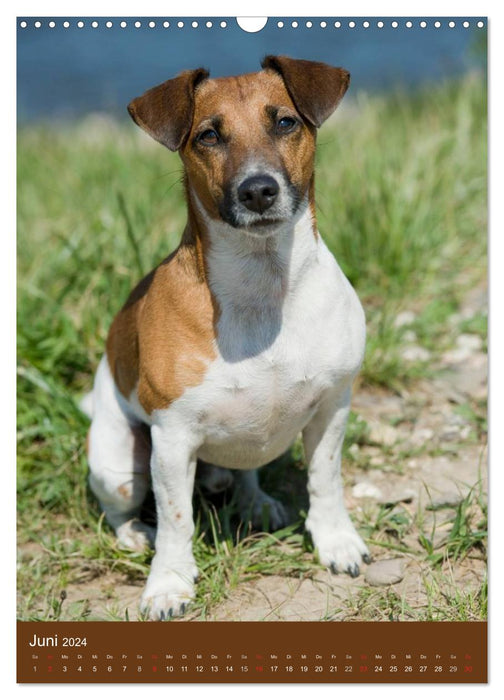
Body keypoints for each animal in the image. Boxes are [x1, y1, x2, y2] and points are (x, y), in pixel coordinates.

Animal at [85, 57, 370, 620]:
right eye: (208, 136)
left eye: (285, 122)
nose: (257, 190)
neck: (262, 288)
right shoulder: (172, 439)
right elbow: (176, 519)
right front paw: (169, 583)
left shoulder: (332, 406)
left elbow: (325, 479)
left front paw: (336, 541)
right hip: (120, 466)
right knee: (122, 508)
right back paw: (135, 534)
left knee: (245, 470)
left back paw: (254, 499)